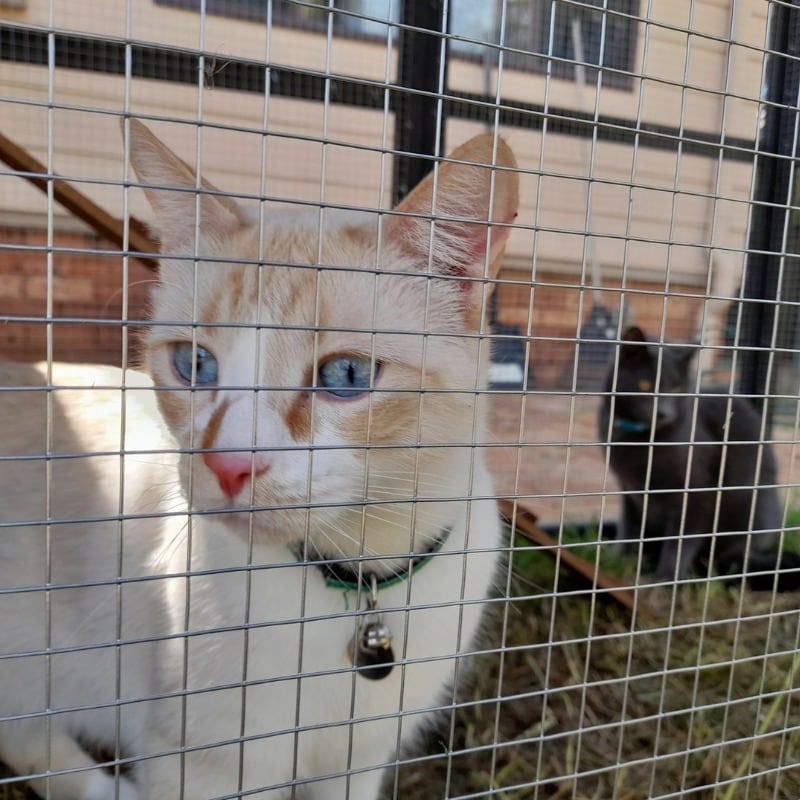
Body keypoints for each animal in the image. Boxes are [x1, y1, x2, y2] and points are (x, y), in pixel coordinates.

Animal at [0, 120, 520, 800]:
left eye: (346, 376)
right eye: (195, 365)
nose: (228, 463)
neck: (358, 578)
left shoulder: (357, 763)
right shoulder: (207, 766)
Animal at [596, 324, 792, 588]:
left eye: (676, 387)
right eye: (646, 384)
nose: (663, 413)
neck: (640, 440)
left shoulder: (696, 491)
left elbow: (682, 539)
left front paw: (665, 581)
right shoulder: (630, 491)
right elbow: (629, 528)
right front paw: (620, 563)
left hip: (754, 510)